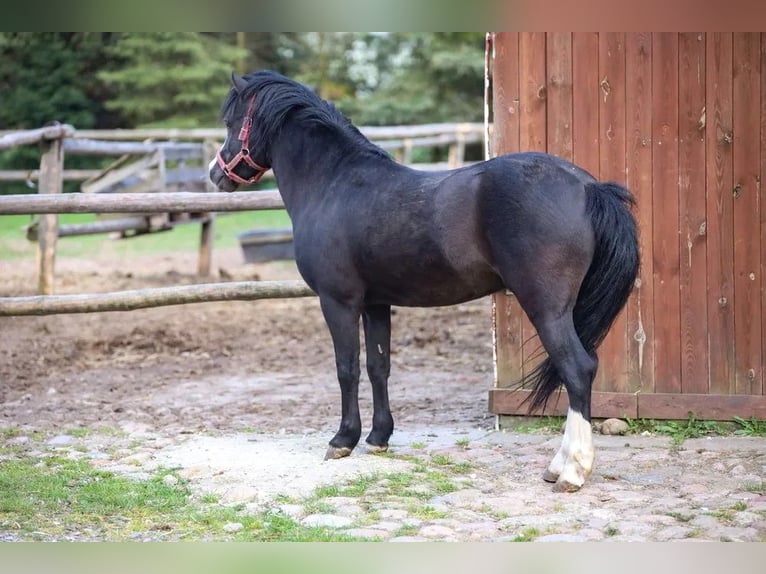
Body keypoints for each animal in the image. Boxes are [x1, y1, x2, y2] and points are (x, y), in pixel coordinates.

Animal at [212, 71, 640, 496]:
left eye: (231, 122)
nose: (217, 174)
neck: (334, 185)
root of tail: (586, 187)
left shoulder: (338, 302)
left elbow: (346, 368)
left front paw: (343, 440)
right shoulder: (375, 304)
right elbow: (378, 366)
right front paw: (378, 437)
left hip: (546, 308)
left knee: (578, 369)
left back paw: (571, 471)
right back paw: (558, 466)